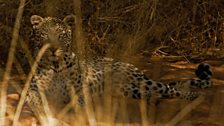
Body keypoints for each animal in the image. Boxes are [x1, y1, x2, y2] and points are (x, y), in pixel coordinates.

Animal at [24, 14, 214, 121]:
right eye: (44, 34)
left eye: (61, 35)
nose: (53, 50)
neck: (55, 66)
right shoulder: (33, 89)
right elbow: (33, 98)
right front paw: (40, 109)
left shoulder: (79, 91)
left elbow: (77, 101)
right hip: (129, 90)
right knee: (158, 94)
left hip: (143, 83)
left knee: (173, 89)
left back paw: (195, 96)